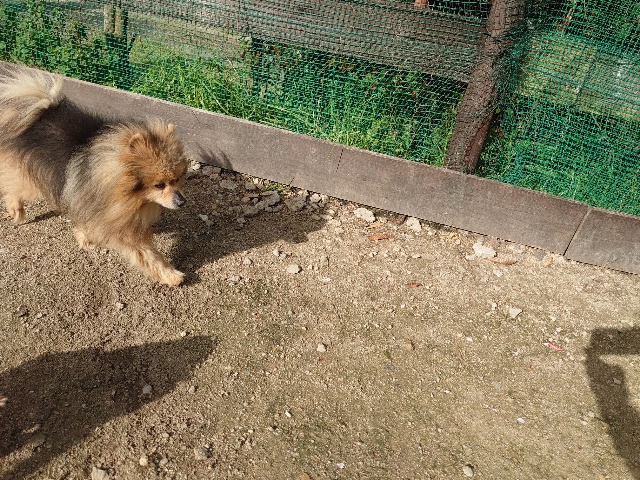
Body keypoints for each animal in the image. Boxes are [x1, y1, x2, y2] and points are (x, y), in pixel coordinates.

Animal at [0, 68, 188, 286]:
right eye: (159, 185)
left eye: (177, 179)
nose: (182, 201)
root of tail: (39, 110)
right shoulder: (118, 225)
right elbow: (147, 254)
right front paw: (171, 275)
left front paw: (83, 237)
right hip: (29, 177)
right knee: (13, 188)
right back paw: (16, 210)